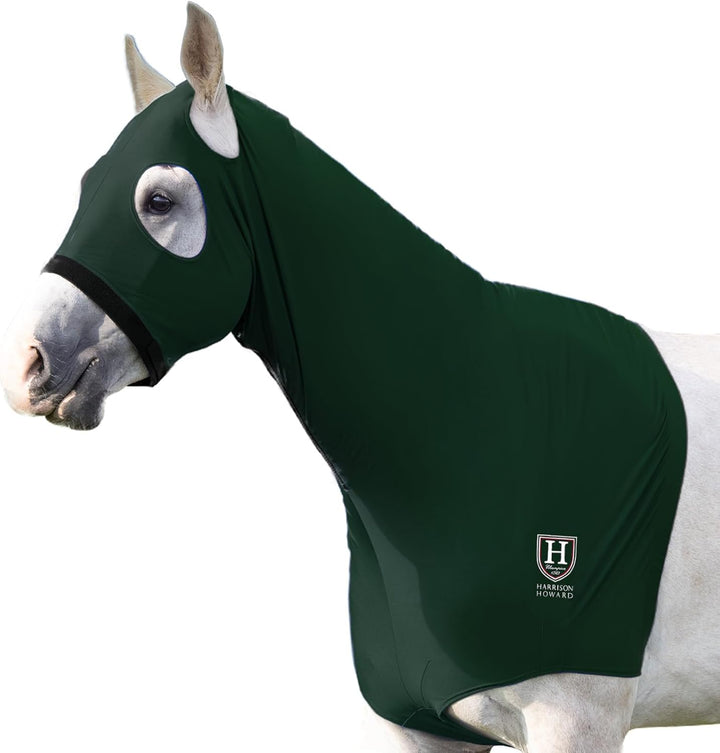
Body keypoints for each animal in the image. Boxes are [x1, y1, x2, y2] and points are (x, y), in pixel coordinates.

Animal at [1, 4, 719, 752]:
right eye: (87, 188)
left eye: (159, 200)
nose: (28, 363)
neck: (480, 423)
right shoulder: (421, 726)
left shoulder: (578, 720)